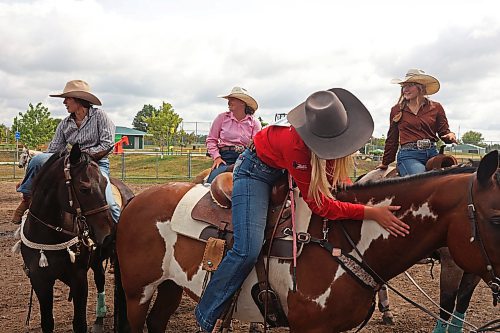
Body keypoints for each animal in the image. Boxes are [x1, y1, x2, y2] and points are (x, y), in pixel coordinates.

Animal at [16, 143, 131, 332]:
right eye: (84, 188)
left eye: (104, 184)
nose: (108, 234)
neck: (50, 234)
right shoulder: (40, 280)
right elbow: (47, 323)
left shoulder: (79, 279)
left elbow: (79, 323)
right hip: (97, 260)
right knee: (100, 279)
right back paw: (99, 319)